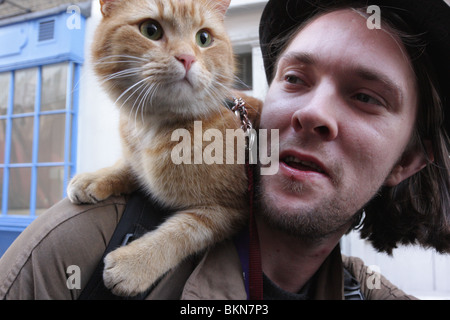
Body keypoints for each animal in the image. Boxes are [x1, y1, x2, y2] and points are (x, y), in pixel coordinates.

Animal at [68, 0, 262, 296]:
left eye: (203, 38)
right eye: (150, 30)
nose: (187, 58)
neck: (153, 128)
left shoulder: (231, 210)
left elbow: (182, 231)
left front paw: (135, 262)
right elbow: (129, 168)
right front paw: (95, 178)